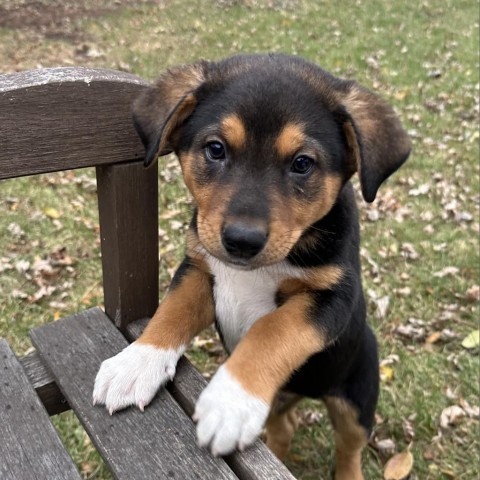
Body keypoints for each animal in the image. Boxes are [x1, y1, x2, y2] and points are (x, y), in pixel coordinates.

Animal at [94, 54, 412, 478]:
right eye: (215, 149)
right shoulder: (200, 270)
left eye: (302, 163)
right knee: (286, 425)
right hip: (284, 402)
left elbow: (272, 330)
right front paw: (137, 363)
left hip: (356, 399)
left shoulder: (332, 298)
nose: (242, 240)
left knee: (349, 448)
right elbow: (172, 311)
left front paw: (230, 401)